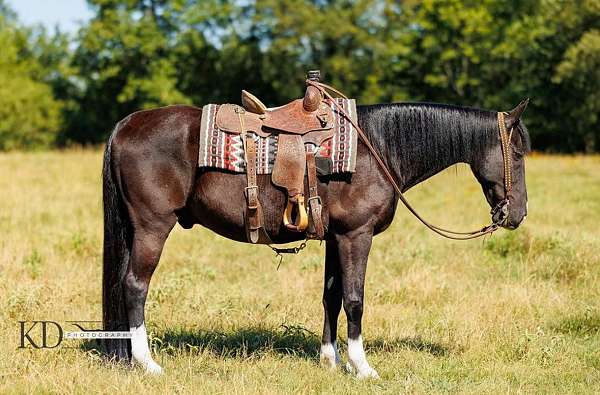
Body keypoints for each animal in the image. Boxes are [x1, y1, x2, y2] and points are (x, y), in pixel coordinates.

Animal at [102, 99, 528, 378]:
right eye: (520, 153)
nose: (517, 214)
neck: (378, 149)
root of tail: (126, 124)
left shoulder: (336, 237)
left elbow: (331, 296)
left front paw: (330, 360)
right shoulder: (357, 235)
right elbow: (355, 300)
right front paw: (362, 367)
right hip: (153, 226)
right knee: (135, 286)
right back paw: (147, 363)